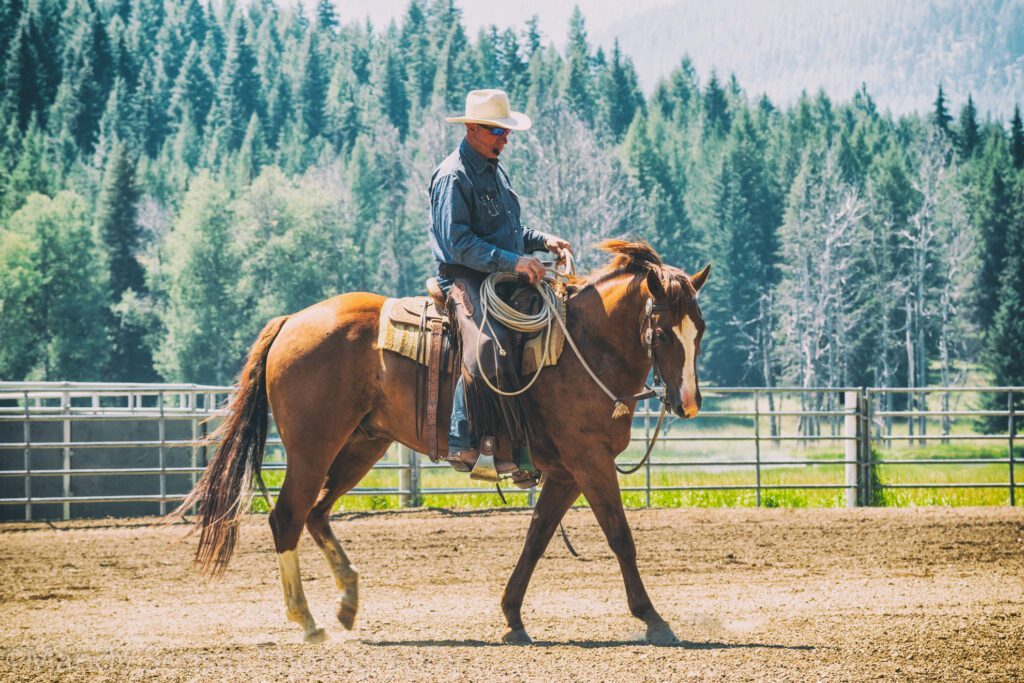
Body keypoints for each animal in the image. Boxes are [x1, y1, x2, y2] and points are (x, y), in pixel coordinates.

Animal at [176, 241, 708, 647]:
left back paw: (347, 602)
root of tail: (290, 321)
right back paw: (308, 622)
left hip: (361, 447)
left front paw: (512, 618)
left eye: (698, 331)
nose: (688, 403)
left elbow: (536, 539)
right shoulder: (589, 462)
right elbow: (620, 536)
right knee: (287, 517)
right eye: (662, 332)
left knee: (318, 513)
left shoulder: (564, 473)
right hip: (312, 448)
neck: (582, 348)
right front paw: (653, 619)